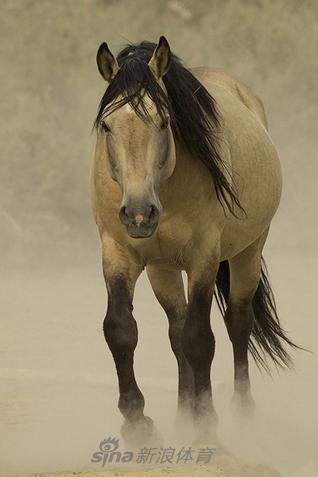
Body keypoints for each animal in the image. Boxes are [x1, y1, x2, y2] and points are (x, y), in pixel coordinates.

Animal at [90, 35, 300, 444]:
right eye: (107, 125)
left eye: (164, 121)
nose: (138, 214)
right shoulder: (118, 252)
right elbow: (121, 329)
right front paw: (138, 422)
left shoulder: (204, 257)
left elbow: (200, 339)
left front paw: (206, 423)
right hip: (163, 268)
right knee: (176, 330)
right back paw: (182, 414)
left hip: (248, 252)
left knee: (237, 321)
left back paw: (242, 412)